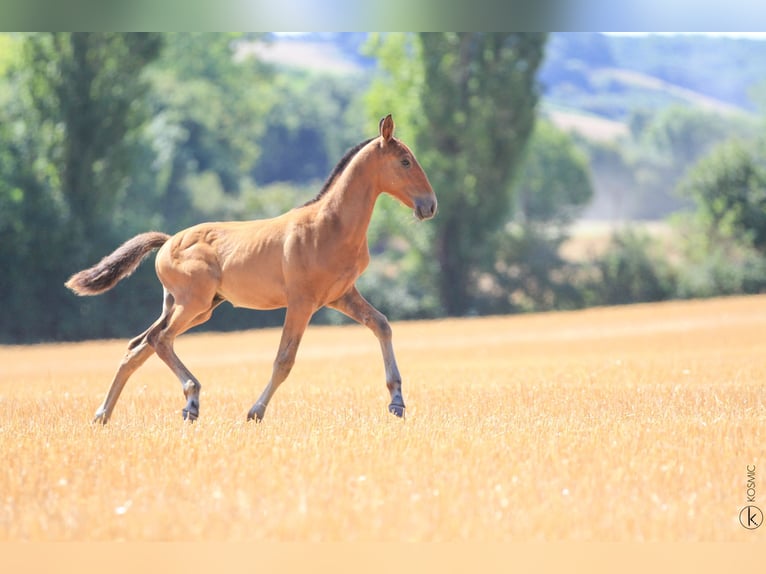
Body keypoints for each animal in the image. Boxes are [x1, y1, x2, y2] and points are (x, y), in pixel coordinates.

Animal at [66, 115, 438, 426]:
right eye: (405, 161)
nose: (430, 205)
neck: (330, 226)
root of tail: (169, 240)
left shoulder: (341, 295)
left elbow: (382, 325)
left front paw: (397, 402)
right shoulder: (301, 302)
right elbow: (284, 359)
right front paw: (255, 411)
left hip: (194, 306)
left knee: (138, 347)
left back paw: (103, 414)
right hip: (193, 303)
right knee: (160, 339)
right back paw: (191, 399)